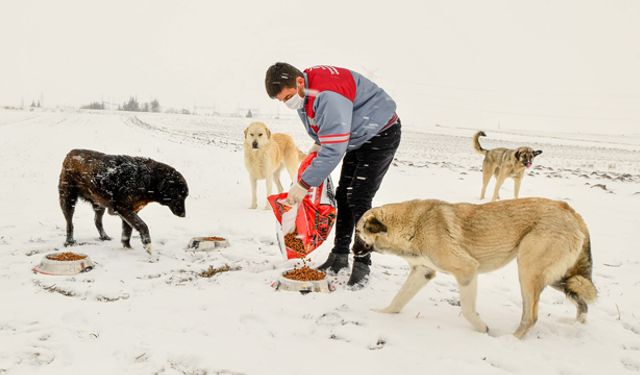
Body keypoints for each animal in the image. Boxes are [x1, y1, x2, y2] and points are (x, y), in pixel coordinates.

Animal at [58, 149, 189, 253]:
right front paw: (147, 244)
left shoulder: (130, 211)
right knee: (70, 223)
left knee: (97, 220)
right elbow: (142, 225)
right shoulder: (123, 208)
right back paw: (69, 241)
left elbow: (127, 232)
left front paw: (127, 248)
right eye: (179, 195)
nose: (184, 215)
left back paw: (104, 236)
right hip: (68, 199)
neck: (148, 180)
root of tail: (70, 153)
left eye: (185, 196)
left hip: (99, 203)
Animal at [352, 200, 596, 340]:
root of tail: (571, 212)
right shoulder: (423, 272)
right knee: (581, 300)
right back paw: (579, 327)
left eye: (358, 233)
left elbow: (468, 310)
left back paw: (511, 340)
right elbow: (398, 299)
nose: (352, 250)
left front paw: (483, 331)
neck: (413, 224)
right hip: (556, 277)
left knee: (531, 316)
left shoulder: (467, 270)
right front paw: (382, 314)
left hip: (528, 271)